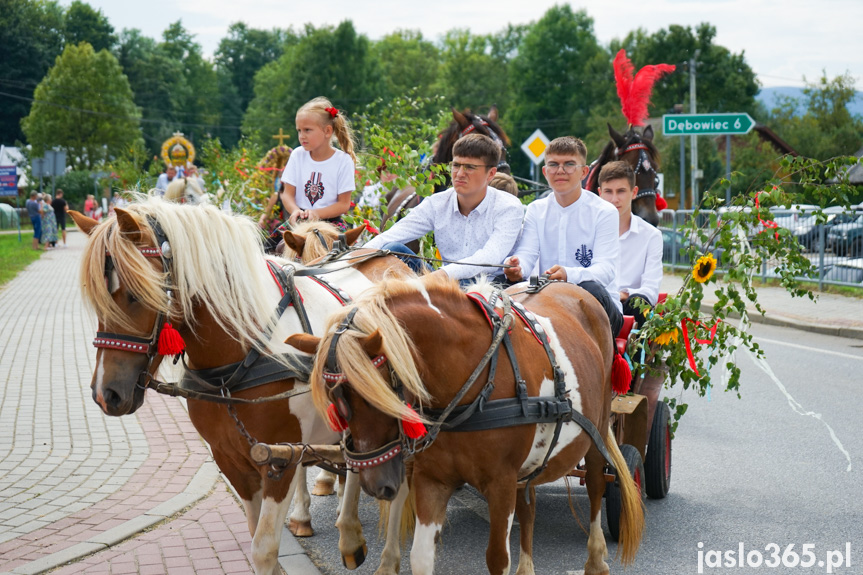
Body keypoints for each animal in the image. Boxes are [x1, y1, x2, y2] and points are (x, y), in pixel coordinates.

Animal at [294, 276, 644, 572]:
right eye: (337, 402)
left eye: (375, 394)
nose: (374, 485)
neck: (472, 376)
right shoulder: (432, 479)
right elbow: (421, 557)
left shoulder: (501, 483)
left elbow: (497, 559)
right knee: (529, 504)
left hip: (597, 430)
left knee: (597, 485)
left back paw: (596, 560)